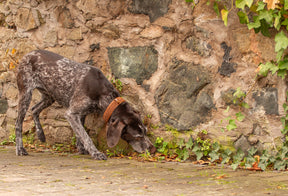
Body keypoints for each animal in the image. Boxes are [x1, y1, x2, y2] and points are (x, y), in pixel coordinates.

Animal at [14, 49, 156, 160]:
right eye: (138, 136)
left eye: (145, 131)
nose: (153, 149)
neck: (102, 93)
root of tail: (28, 54)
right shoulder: (71, 113)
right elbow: (85, 136)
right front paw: (95, 152)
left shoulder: (81, 114)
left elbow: (79, 133)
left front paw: (81, 149)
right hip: (26, 94)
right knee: (18, 123)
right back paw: (20, 149)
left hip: (49, 96)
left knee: (34, 109)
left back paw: (40, 134)